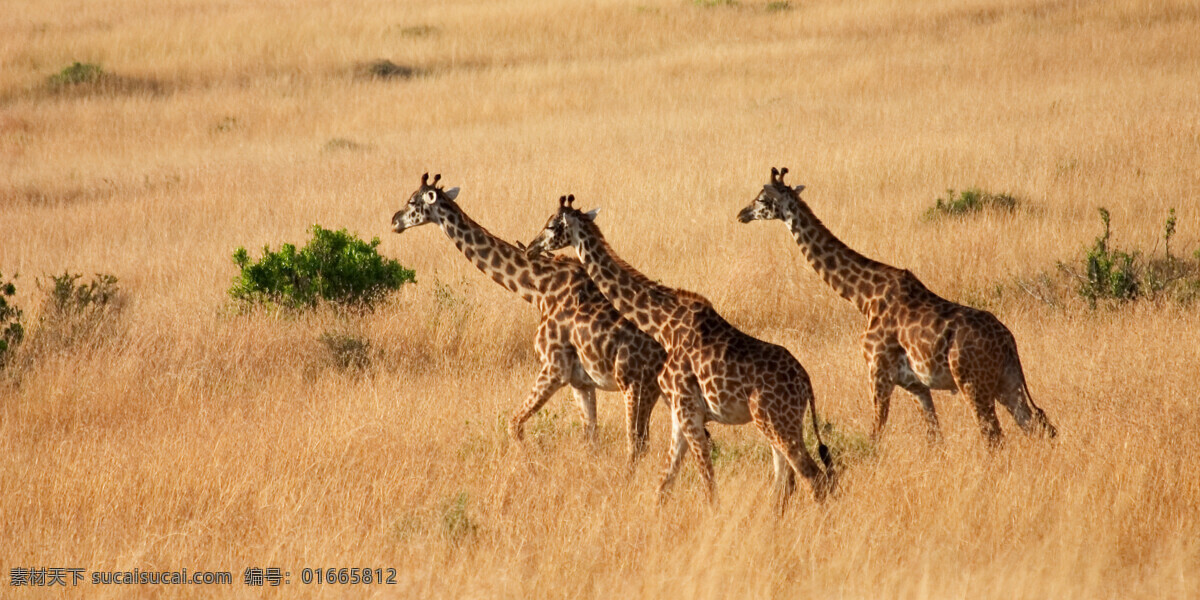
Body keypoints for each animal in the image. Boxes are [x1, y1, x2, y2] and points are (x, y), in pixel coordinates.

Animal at [391, 172, 667, 463]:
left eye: (413, 201)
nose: (394, 221)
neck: (539, 289)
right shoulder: (580, 382)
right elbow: (591, 439)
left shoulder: (554, 369)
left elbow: (514, 424)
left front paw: (530, 465)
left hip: (636, 386)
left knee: (637, 444)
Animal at [525, 193, 835, 511]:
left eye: (551, 226)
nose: (531, 246)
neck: (662, 325)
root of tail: (806, 384)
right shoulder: (679, 413)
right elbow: (664, 485)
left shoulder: (688, 409)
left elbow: (707, 483)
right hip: (778, 424)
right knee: (785, 483)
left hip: (776, 422)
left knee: (814, 478)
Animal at [734, 166, 1056, 448]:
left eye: (762, 198)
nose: (741, 214)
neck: (863, 296)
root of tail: (1009, 341)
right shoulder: (917, 386)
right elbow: (935, 439)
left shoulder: (877, 372)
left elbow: (875, 436)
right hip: (1006, 382)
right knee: (1035, 427)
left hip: (973, 384)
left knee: (994, 437)